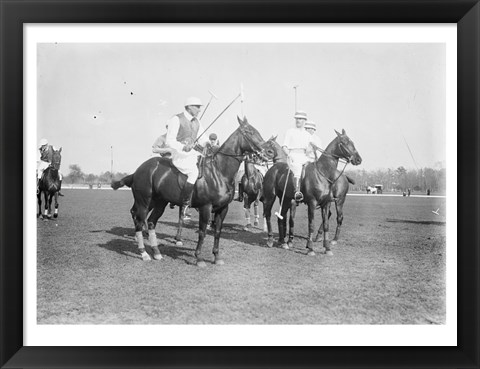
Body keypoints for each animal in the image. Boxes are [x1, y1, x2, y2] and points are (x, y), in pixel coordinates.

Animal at [110, 116, 272, 266]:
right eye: (249, 132)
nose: (269, 151)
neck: (220, 172)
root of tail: (137, 171)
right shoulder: (205, 207)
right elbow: (202, 232)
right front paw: (199, 258)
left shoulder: (223, 208)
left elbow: (217, 232)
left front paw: (216, 257)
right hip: (144, 201)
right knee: (139, 220)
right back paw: (144, 253)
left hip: (160, 202)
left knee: (150, 222)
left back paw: (156, 252)